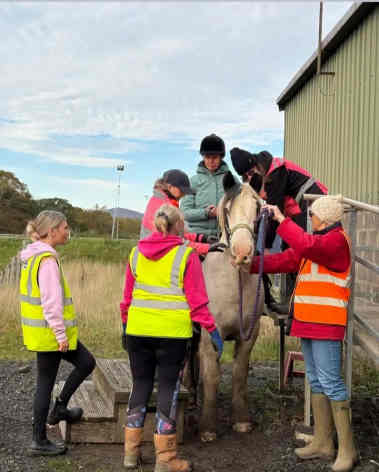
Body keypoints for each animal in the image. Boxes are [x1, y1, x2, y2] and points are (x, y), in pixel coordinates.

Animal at [196, 172, 264, 442]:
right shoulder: (209, 336)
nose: (242, 253)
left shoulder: (249, 335)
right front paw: (207, 427)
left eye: (258, 208)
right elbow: (212, 376)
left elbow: (239, 374)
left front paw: (241, 420)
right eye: (227, 209)